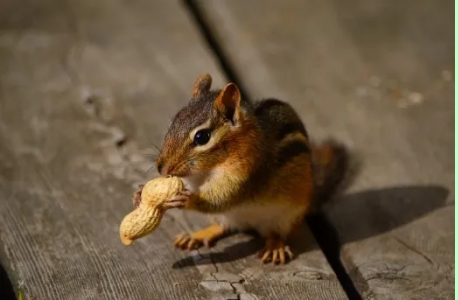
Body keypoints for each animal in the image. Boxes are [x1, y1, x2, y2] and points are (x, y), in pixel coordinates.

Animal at [134, 74, 348, 264]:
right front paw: (139, 193)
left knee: (277, 234)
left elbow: (223, 197)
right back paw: (196, 235)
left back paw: (275, 246)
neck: (207, 171)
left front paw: (187, 199)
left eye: (202, 137)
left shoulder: (246, 172)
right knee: (222, 227)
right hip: (225, 218)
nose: (161, 168)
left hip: (287, 216)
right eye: (173, 123)